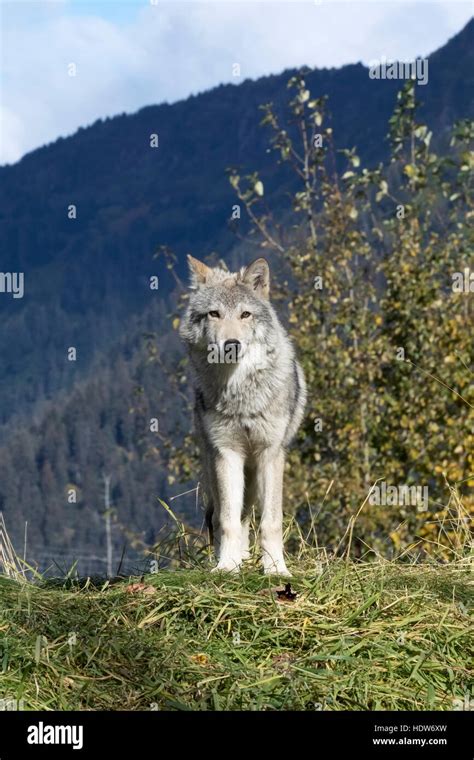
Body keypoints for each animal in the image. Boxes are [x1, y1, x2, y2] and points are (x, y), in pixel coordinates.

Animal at [179, 256, 308, 576]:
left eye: (245, 314)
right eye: (214, 314)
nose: (231, 344)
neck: (240, 396)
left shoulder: (270, 454)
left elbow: (271, 521)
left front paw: (275, 569)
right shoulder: (227, 454)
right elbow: (227, 520)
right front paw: (227, 566)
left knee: (248, 516)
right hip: (215, 465)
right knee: (223, 516)